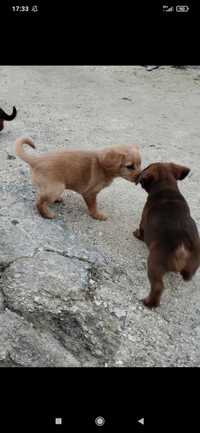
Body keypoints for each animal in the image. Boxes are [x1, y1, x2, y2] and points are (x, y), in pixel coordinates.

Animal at [134, 162, 200, 308]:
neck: (166, 187)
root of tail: (182, 245)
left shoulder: (143, 221)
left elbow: (141, 231)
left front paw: (137, 234)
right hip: (194, 261)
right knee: (188, 274)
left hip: (154, 264)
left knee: (158, 287)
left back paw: (149, 303)